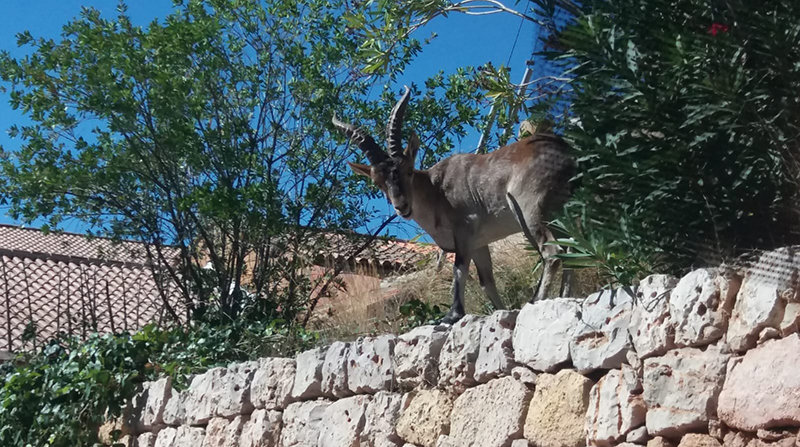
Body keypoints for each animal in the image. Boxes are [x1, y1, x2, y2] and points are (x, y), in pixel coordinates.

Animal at [332, 87, 576, 324]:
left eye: (408, 170)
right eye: (378, 182)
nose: (401, 206)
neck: (436, 189)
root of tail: (567, 154)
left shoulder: (465, 230)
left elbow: (458, 269)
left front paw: (453, 314)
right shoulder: (479, 244)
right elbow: (486, 282)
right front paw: (501, 311)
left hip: (530, 211)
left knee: (552, 251)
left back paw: (535, 301)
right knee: (571, 248)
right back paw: (564, 296)